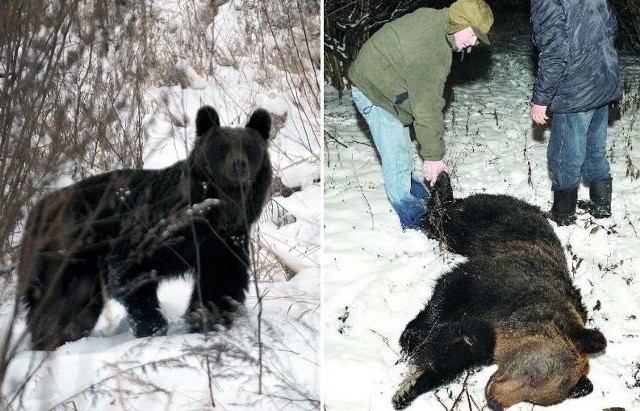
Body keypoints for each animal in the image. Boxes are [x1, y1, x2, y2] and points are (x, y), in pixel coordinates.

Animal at [18, 105, 272, 350]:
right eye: (222, 147)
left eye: (249, 147)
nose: (238, 165)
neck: (211, 215)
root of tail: (36, 208)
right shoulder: (152, 231)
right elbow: (132, 273)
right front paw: (154, 326)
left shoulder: (224, 241)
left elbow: (221, 281)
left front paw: (207, 321)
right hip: (68, 250)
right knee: (58, 300)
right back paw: (49, 337)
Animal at [392, 172, 608, 410]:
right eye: (532, 375)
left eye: (533, 399)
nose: (495, 401)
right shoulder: (494, 284)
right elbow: (448, 291)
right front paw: (412, 336)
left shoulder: (485, 337)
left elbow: (454, 354)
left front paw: (409, 389)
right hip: (478, 223)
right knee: (443, 218)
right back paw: (442, 183)